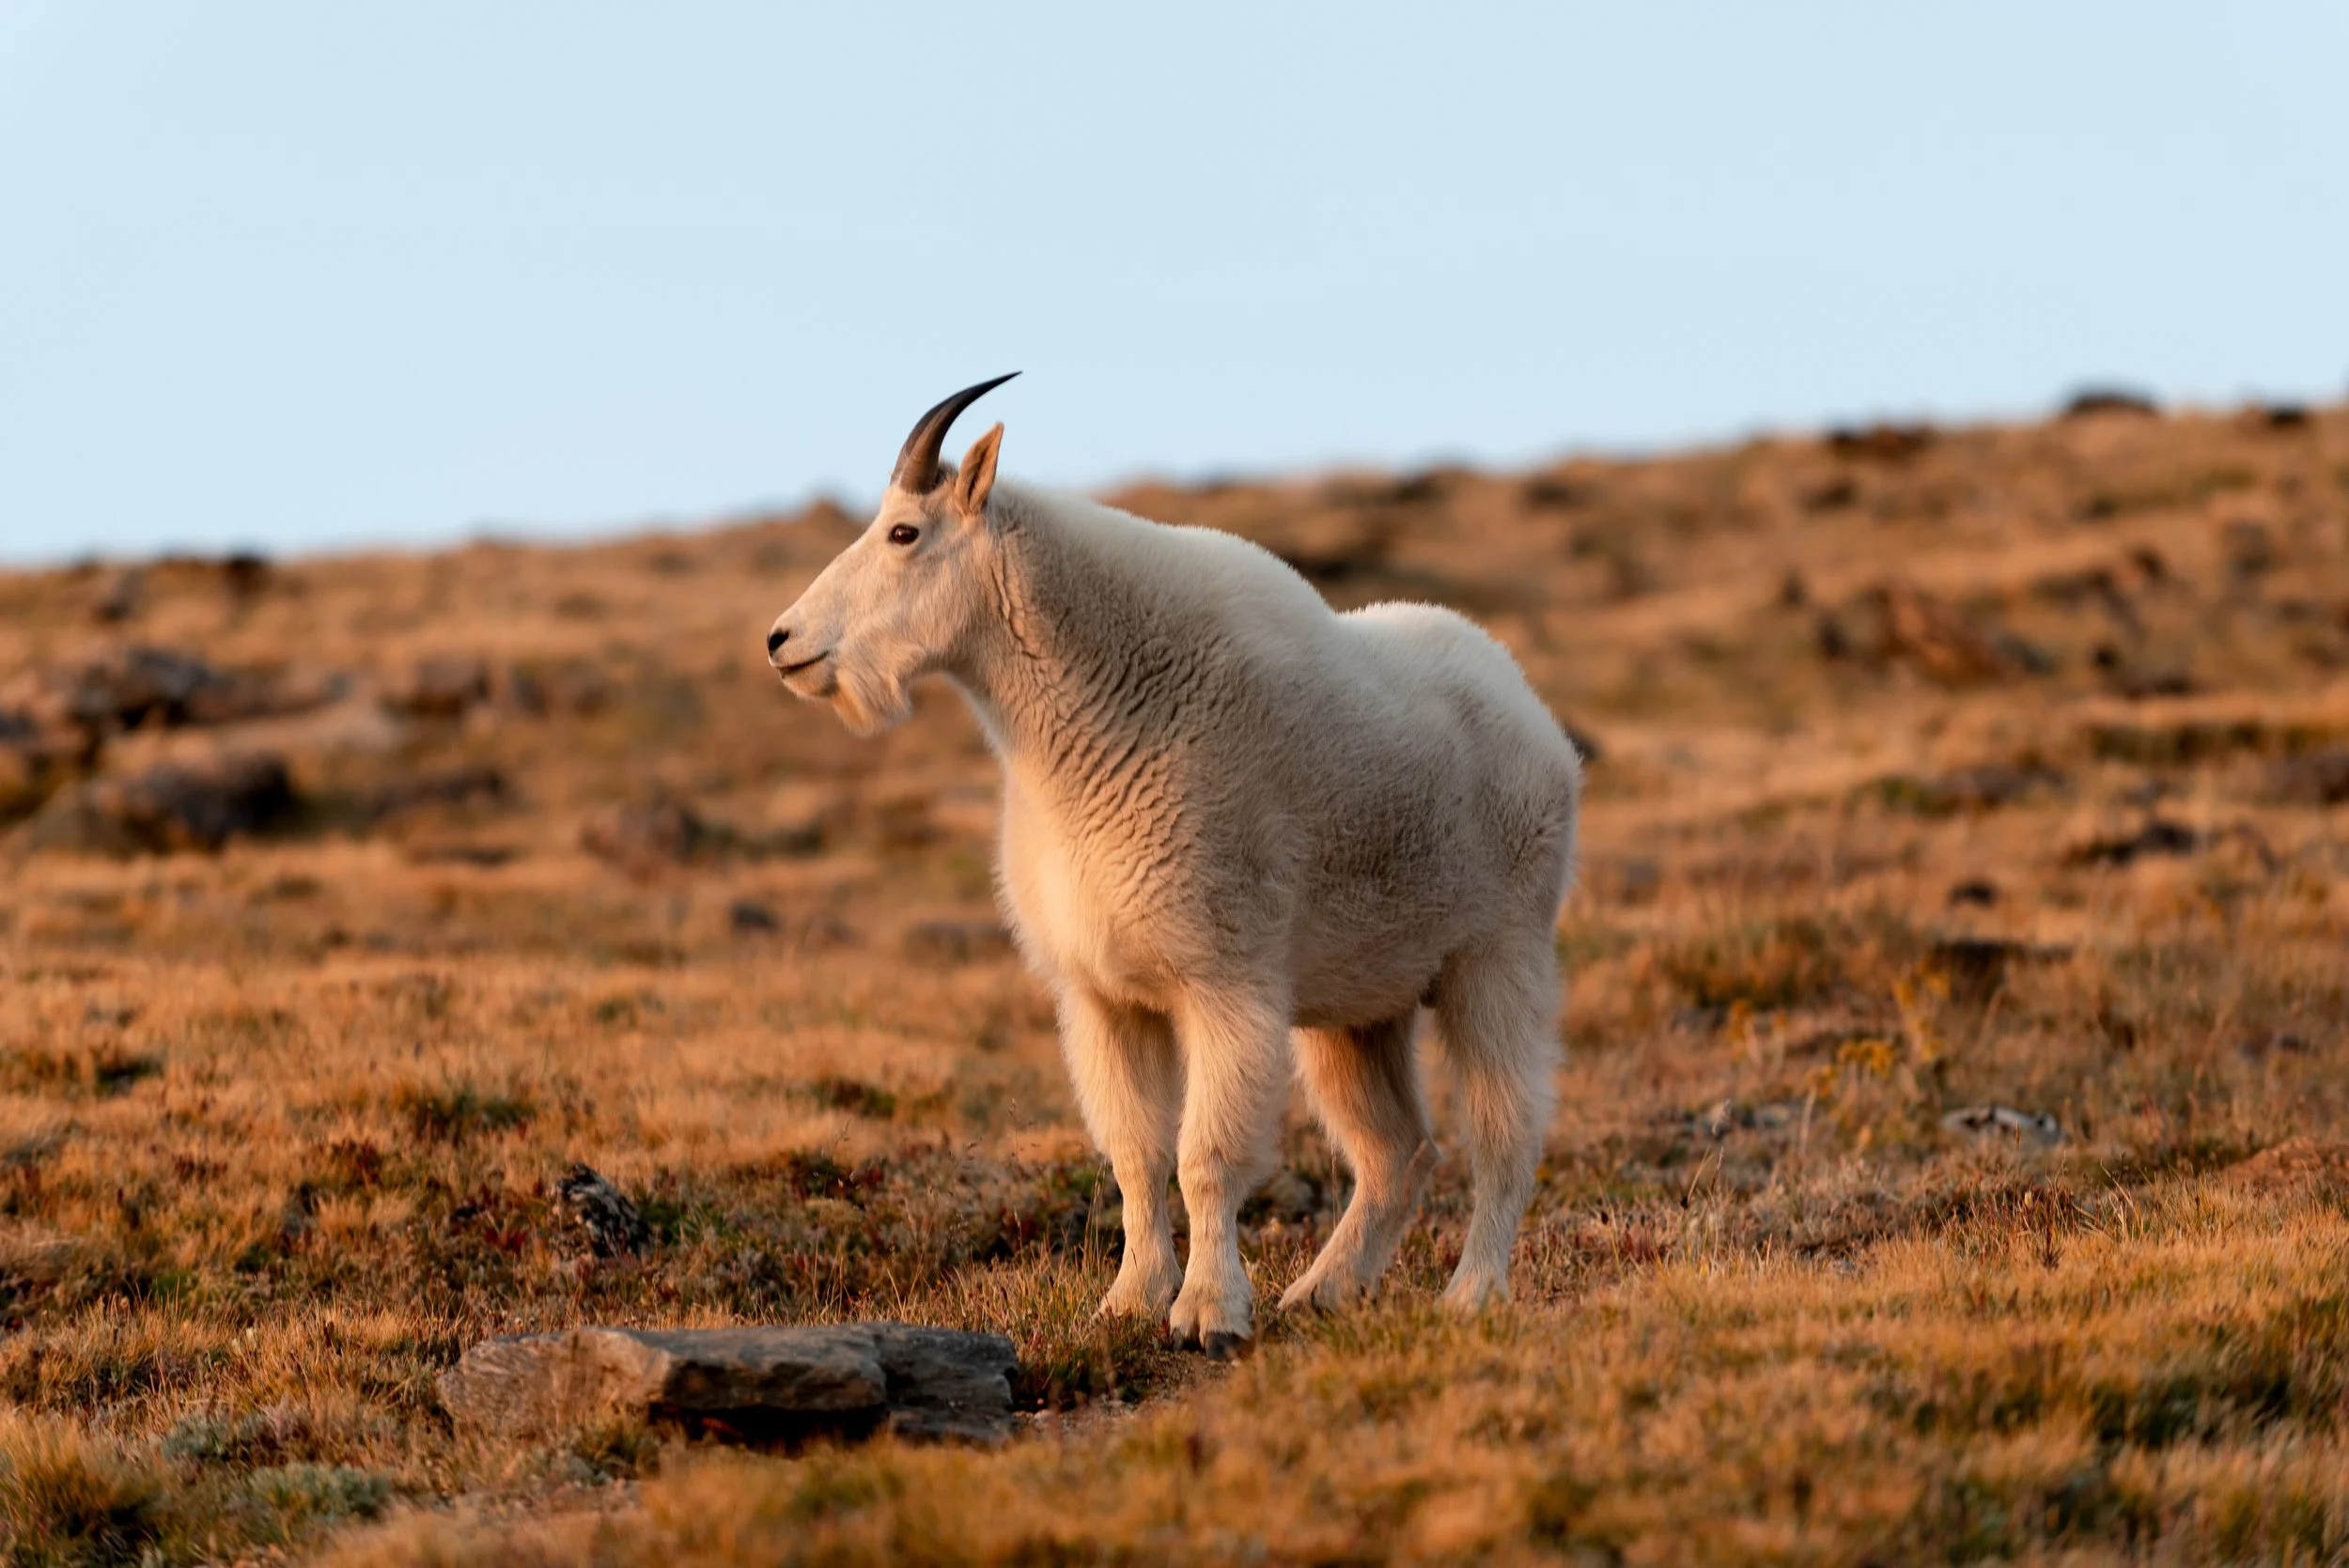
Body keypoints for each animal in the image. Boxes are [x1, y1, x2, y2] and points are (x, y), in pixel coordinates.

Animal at [767, 376, 1581, 1354]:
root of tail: (1536, 715)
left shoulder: (1225, 981)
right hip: (1360, 1007)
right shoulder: (1102, 996)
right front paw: (1128, 1299)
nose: (783, 641)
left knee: (1505, 1130)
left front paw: (1207, 1313)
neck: (1091, 725)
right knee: (1397, 1149)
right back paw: (1321, 1291)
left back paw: (1470, 1292)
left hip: (1496, 955)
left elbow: (1206, 1156)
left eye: (903, 532)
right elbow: (1136, 1154)